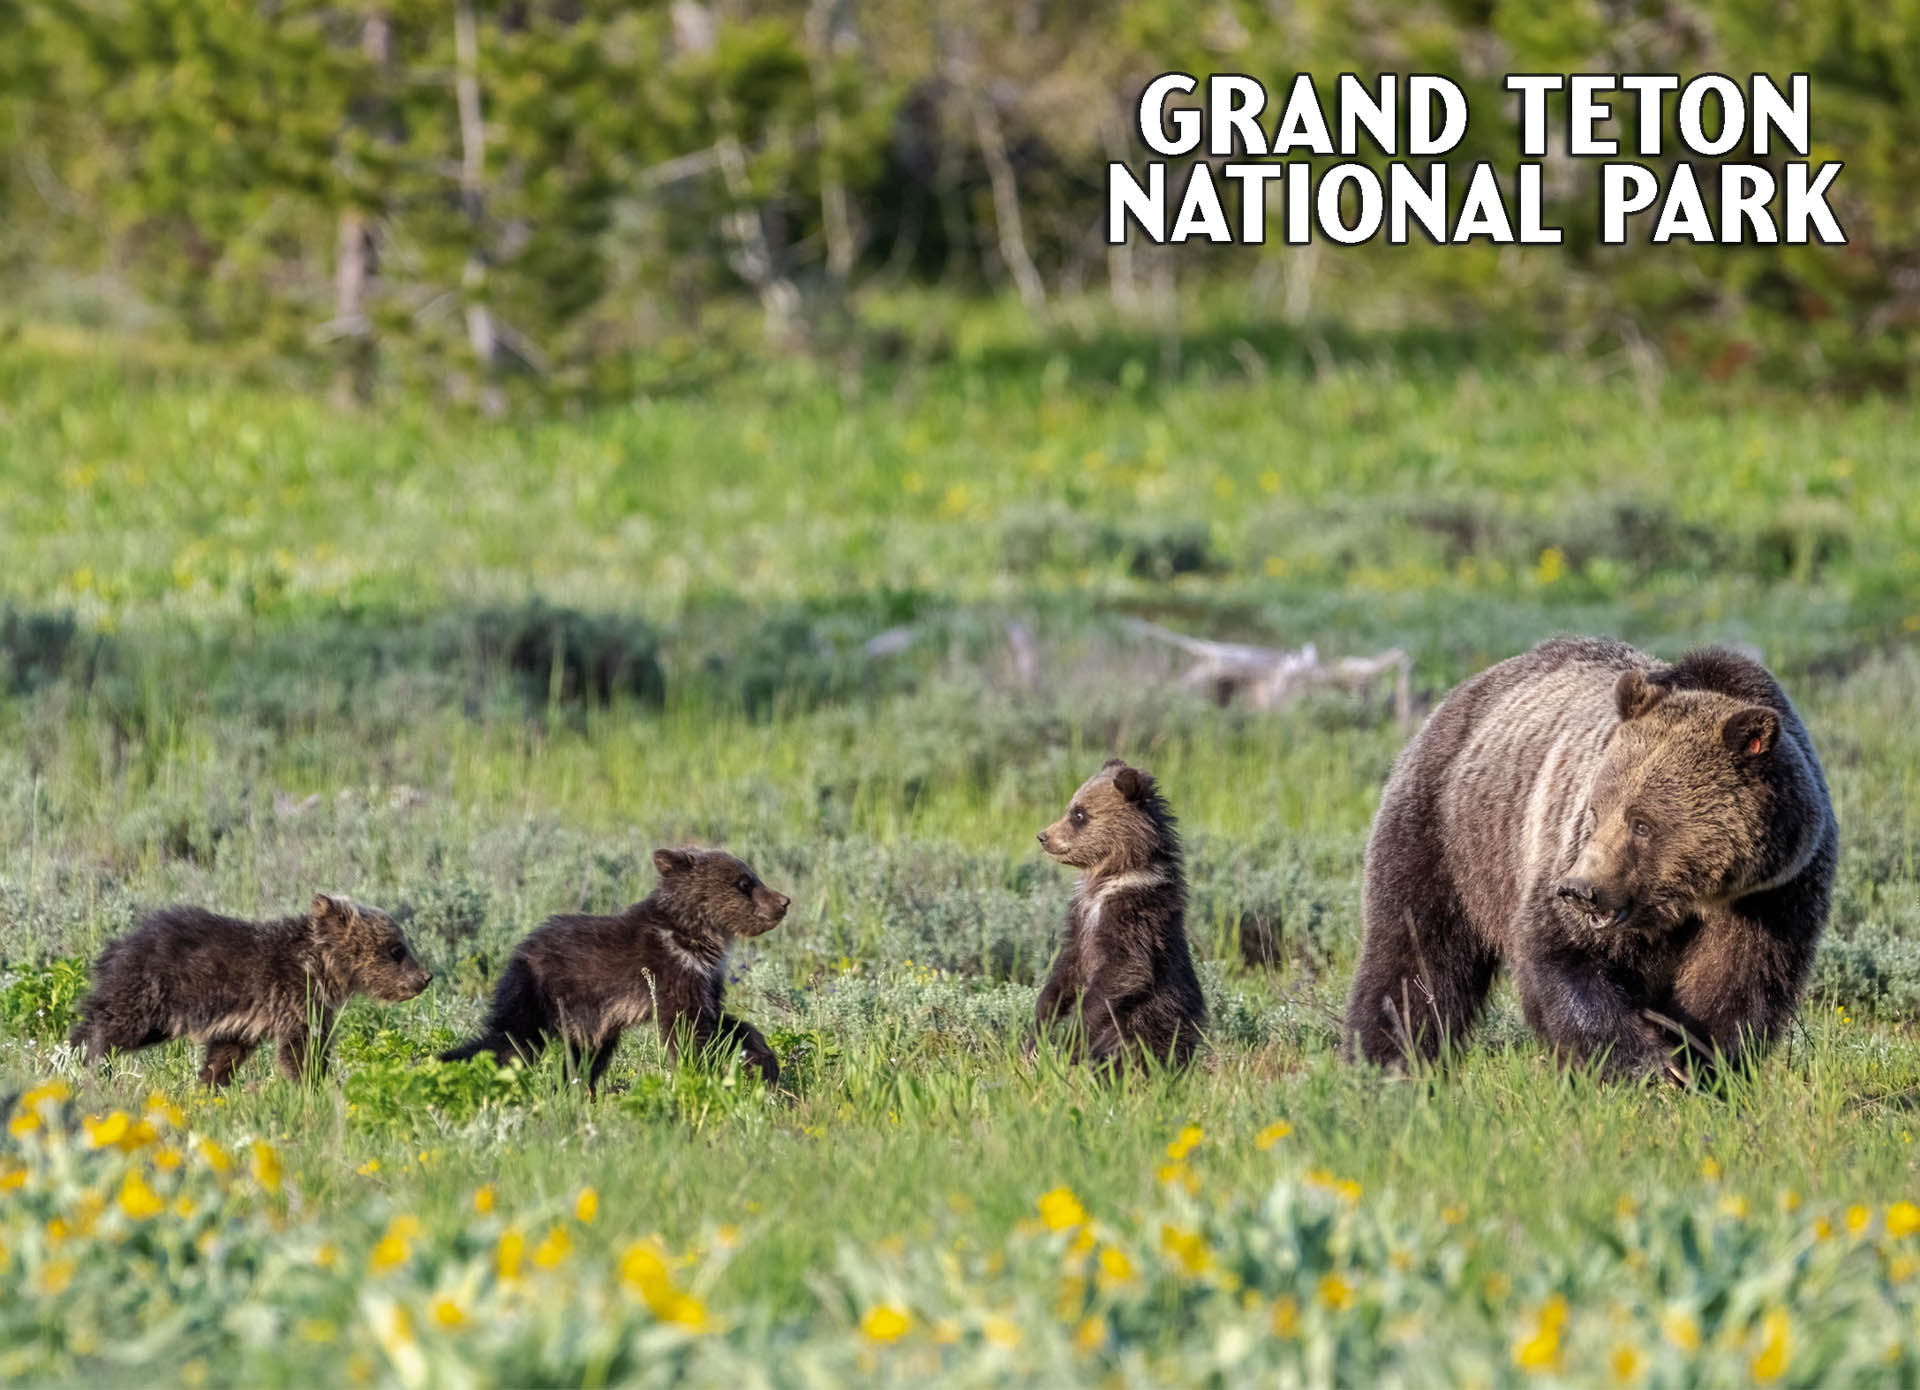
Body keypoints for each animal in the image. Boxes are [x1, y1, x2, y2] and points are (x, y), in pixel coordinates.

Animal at [70, 894, 432, 1087]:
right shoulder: (293, 998)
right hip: (147, 993)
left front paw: (208, 1086)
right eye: (397, 949)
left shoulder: (243, 1023)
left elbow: (224, 1056)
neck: (320, 966)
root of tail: (115, 947)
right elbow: (303, 1050)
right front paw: (316, 1085)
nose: (425, 977)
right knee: (106, 1026)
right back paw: (75, 1060)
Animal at [439, 846, 788, 1094]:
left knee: (579, 1061)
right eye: (745, 882)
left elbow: (723, 1023)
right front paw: (705, 1073)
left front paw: (762, 1063)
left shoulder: (705, 978)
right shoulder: (672, 972)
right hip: (537, 993)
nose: (783, 901)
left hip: (587, 1025)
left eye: (752, 875)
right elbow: (689, 1031)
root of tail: (517, 951)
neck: (696, 936)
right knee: (511, 1041)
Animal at [1032, 759, 1207, 1072]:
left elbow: (1124, 970)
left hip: (1153, 1025)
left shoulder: (1133, 916)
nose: (1043, 836)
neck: (1107, 879)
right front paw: (1038, 1031)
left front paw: (1069, 1041)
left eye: (1079, 814)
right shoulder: (1080, 919)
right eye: (1071, 807)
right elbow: (1064, 971)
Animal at [1344, 637, 1837, 1083]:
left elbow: (1734, 986)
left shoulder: (1773, 897)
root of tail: (1465, 690)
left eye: (1642, 823)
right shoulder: (1562, 850)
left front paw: (1701, 1068)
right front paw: (1648, 1068)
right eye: (1596, 810)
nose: (1580, 889)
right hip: (1450, 832)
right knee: (1414, 954)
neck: (1697, 897)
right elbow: (1564, 956)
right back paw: (1383, 1064)